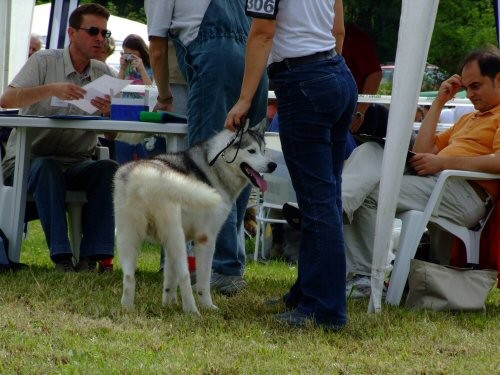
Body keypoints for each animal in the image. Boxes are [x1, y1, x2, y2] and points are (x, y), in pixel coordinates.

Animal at [114, 121, 278, 314]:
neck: (215, 166)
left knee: (129, 277)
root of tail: (145, 174)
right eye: (251, 151)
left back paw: (127, 308)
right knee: (185, 276)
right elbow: (202, 282)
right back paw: (193, 311)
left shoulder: (171, 244)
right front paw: (208, 305)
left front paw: (168, 304)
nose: (272, 165)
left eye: (264, 150)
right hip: (175, 236)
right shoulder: (206, 239)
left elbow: (170, 277)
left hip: (128, 237)